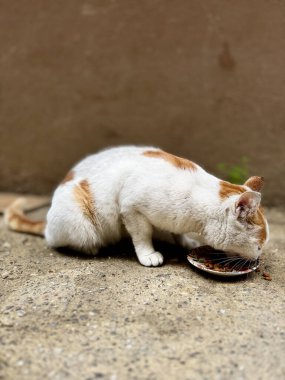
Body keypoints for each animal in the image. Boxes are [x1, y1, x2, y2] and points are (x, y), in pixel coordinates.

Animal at [3, 145, 268, 268]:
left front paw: (185, 241)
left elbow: (176, 232)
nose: (258, 257)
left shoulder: (173, 219)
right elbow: (142, 236)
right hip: (80, 223)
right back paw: (91, 248)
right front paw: (148, 254)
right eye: (258, 246)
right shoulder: (131, 209)